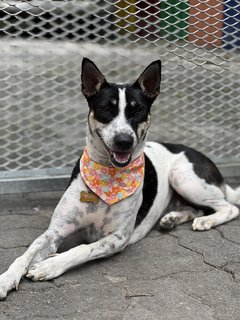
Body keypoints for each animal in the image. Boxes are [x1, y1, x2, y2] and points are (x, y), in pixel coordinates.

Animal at [0, 58, 240, 300]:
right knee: (198, 208)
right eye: (106, 108)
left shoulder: (117, 238)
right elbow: (26, 253)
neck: (107, 177)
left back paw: (206, 221)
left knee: (228, 208)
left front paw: (50, 265)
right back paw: (171, 219)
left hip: (184, 178)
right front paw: (6, 279)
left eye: (138, 110)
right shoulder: (55, 231)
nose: (124, 141)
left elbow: (82, 249)